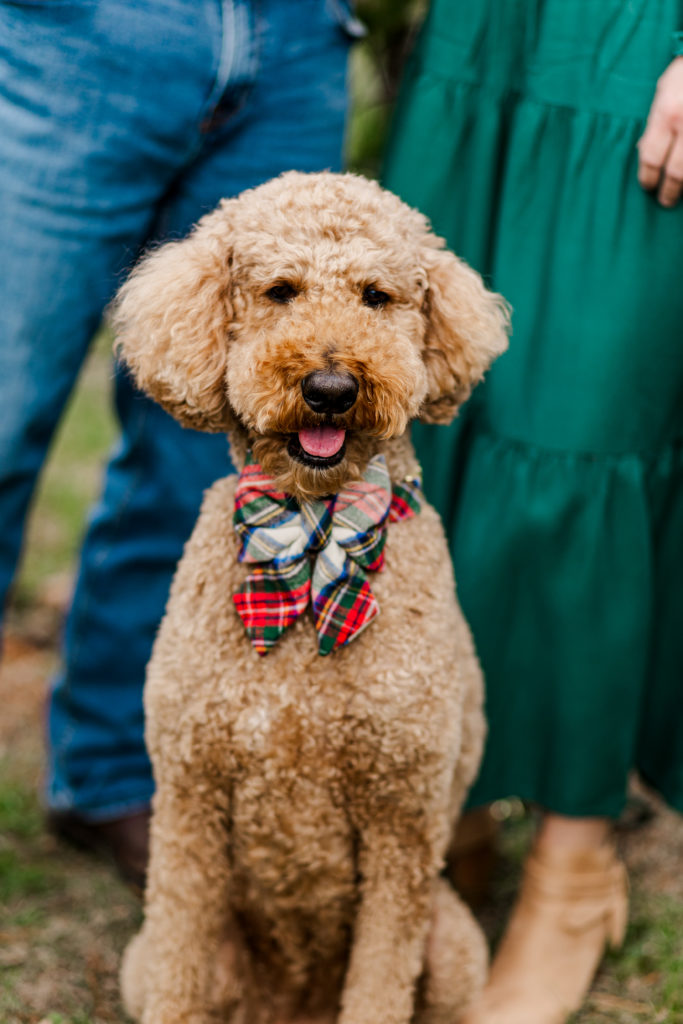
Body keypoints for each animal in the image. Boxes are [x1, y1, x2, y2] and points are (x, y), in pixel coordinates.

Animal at [113, 169, 507, 1024]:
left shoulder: (403, 822)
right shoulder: (188, 805)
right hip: (146, 956)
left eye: (376, 296)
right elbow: (178, 973)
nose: (330, 386)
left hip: (453, 946)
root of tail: (290, 1005)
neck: (312, 526)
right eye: (279, 291)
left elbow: (381, 981)